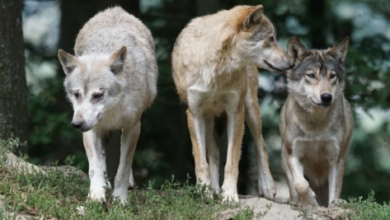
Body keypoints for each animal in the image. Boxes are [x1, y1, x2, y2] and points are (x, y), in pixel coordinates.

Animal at [56, 6, 157, 204]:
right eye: (77, 94)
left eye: (98, 95)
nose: (76, 124)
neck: (112, 111)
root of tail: (115, 9)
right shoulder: (91, 129)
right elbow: (95, 166)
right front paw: (96, 195)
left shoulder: (133, 126)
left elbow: (123, 168)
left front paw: (120, 199)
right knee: (102, 156)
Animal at [171, 4, 292, 202]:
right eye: (271, 38)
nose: (291, 63)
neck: (216, 69)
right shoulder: (194, 113)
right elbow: (201, 161)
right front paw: (204, 191)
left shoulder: (236, 111)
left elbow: (232, 161)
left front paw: (229, 194)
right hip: (208, 119)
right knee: (214, 153)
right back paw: (213, 189)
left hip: (250, 110)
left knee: (261, 144)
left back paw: (267, 186)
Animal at [280, 37, 354, 207]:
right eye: (311, 75)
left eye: (332, 76)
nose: (326, 97)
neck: (316, 125)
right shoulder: (294, 155)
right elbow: (301, 184)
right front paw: (310, 201)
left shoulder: (336, 160)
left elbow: (334, 195)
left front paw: (332, 205)